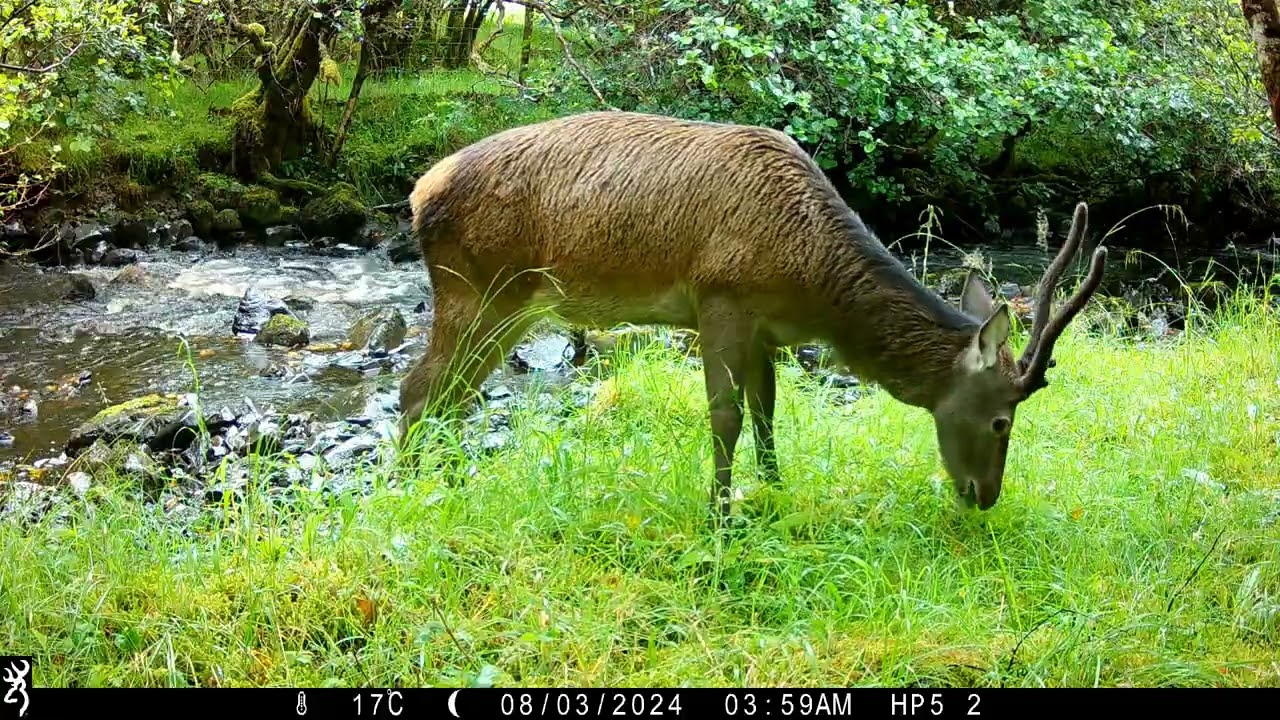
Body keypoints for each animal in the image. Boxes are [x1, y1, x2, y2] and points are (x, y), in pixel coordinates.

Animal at [396, 111, 1106, 522]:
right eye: (1002, 420)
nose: (985, 497)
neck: (813, 285)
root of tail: (418, 191)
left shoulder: (768, 329)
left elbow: (769, 414)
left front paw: (775, 494)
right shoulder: (721, 301)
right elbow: (728, 416)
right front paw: (720, 517)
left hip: (515, 305)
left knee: (455, 395)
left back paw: (448, 486)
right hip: (476, 288)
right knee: (419, 388)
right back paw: (406, 494)